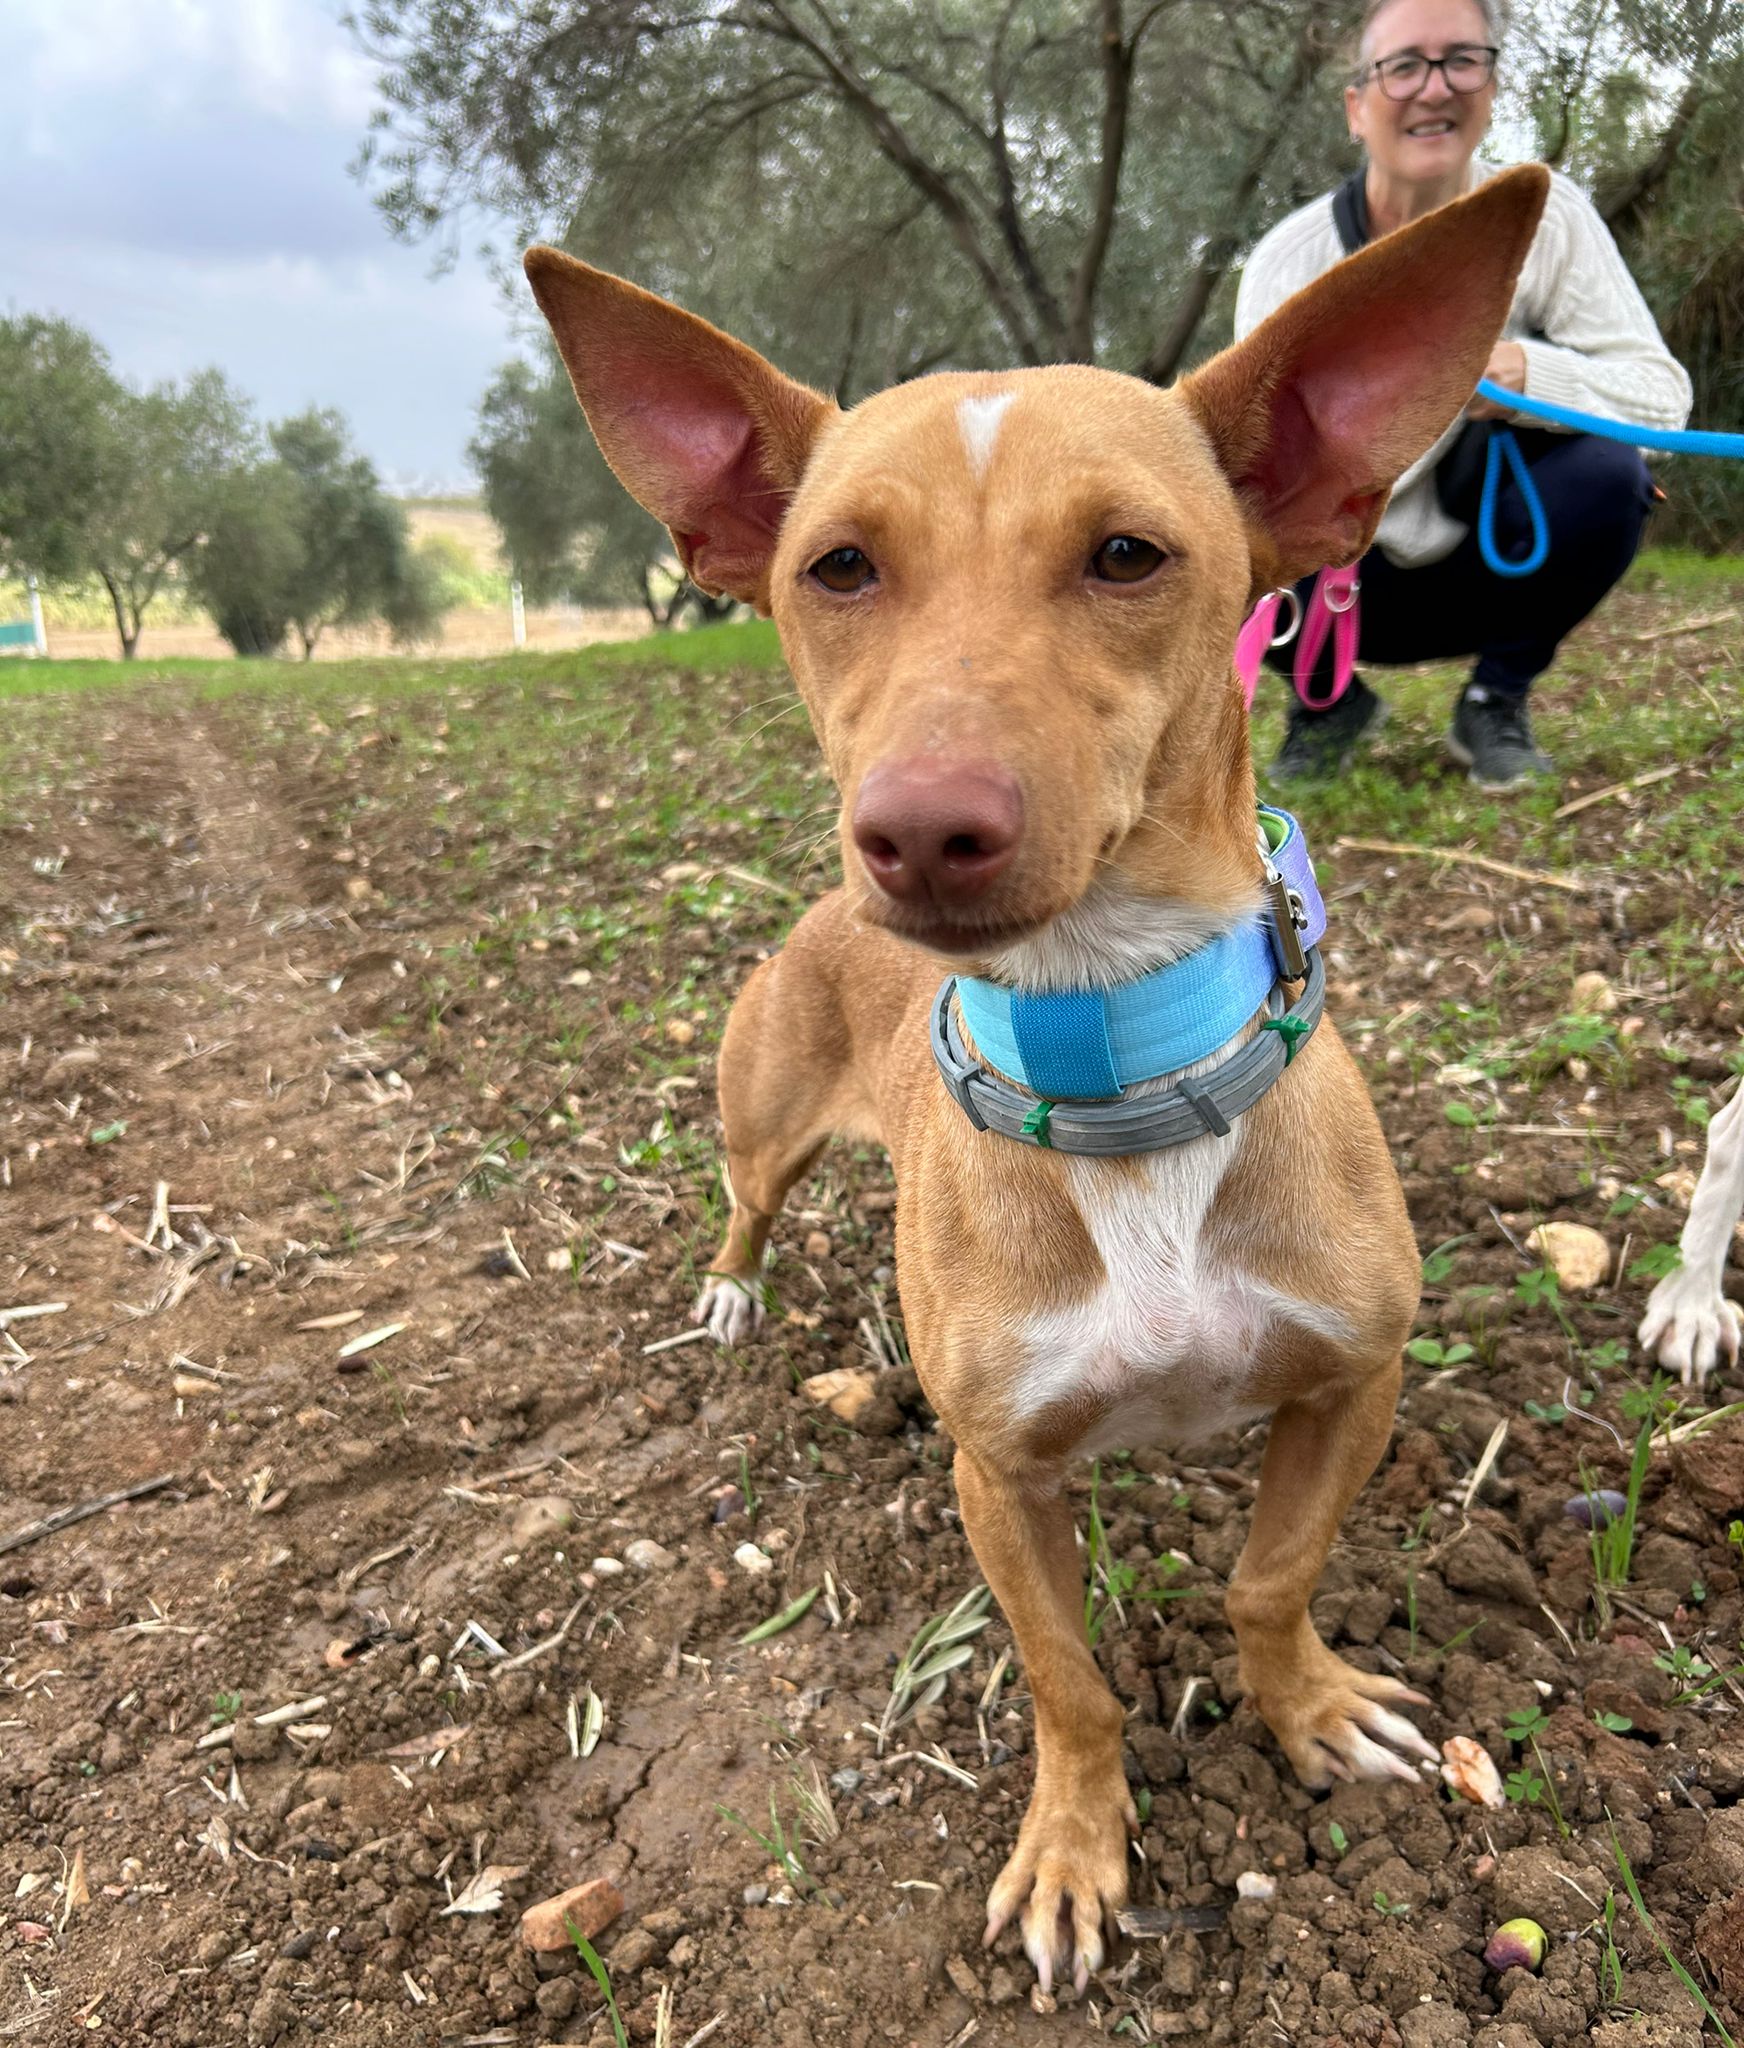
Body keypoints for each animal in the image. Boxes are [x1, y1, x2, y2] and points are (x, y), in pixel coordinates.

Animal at [526, 163, 1548, 1995]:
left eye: (1128, 553)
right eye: (837, 567)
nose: (920, 831)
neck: (1112, 1053)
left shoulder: (1352, 1382)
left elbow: (1269, 1576)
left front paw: (1305, 1711)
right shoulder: (996, 1477)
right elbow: (1068, 1682)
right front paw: (1076, 1849)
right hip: (763, 1124)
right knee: (744, 1202)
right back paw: (729, 1293)